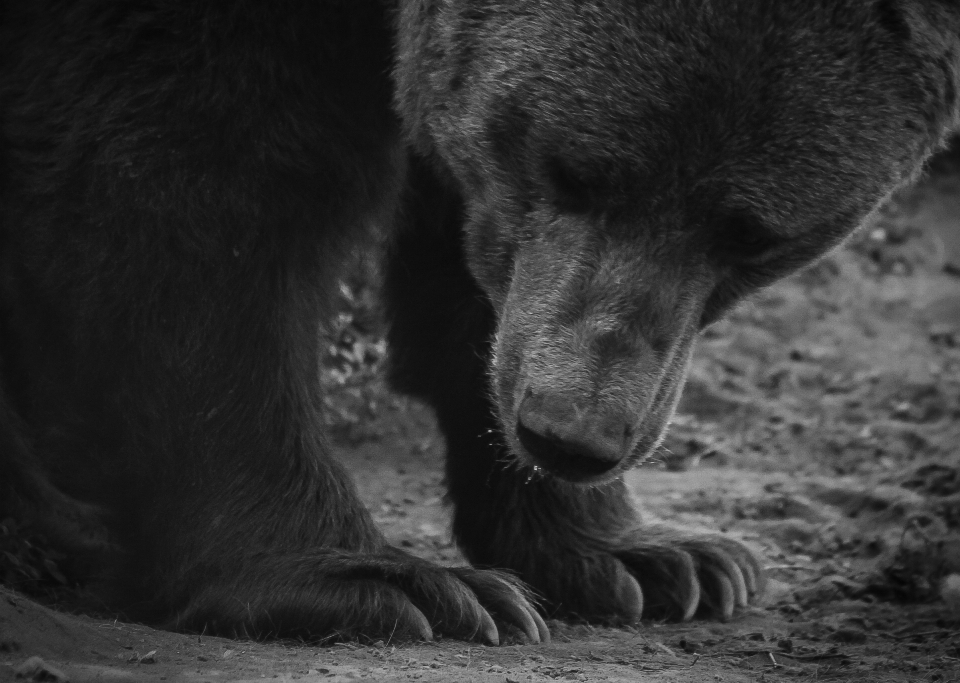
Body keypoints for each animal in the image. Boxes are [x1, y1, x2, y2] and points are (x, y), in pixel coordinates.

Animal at [0, 0, 956, 640]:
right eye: (572, 168)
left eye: (752, 234)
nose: (572, 434)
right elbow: (193, 166)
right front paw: (400, 586)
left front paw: (655, 559)